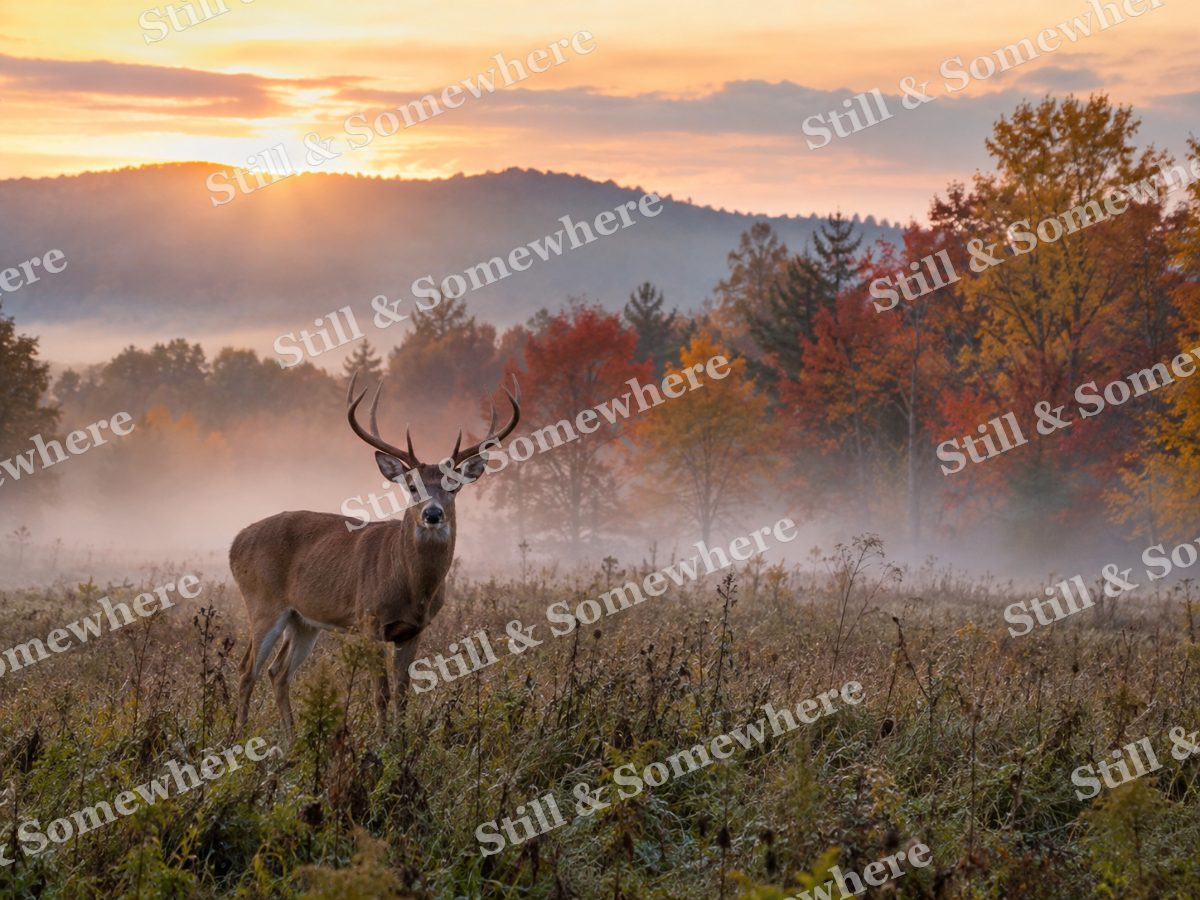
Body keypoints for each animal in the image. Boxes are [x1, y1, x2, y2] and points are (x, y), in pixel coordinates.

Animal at [231, 373, 519, 741]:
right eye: (411, 485)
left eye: (453, 486)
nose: (433, 514)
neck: (410, 586)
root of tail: (235, 542)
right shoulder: (369, 620)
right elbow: (380, 690)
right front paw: (382, 741)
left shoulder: (414, 629)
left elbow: (403, 690)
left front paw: (402, 738)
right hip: (262, 602)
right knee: (246, 670)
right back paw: (239, 737)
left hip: (303, 619)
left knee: (277, 672)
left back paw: (291, 739)